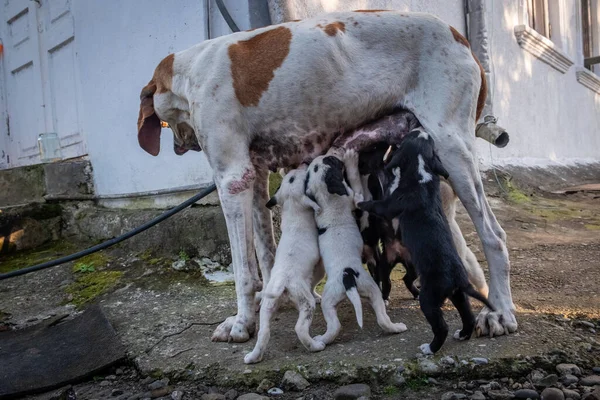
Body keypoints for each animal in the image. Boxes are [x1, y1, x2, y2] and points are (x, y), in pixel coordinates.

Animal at [245, 167, 328, 364]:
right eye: (294, 178)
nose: (300, 167)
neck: (293, 209)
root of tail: (282, 282)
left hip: (268, 307)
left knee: (263, 332)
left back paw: (253, 357)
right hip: (305, 302)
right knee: (300, 328)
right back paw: (315, 346)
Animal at [304, 155, 408, 346]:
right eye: (331, 161)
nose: (332, 155)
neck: (326, 198)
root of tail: (348, 277)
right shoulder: (354, 198)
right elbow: (355, 184)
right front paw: (351, 159)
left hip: (342, 297)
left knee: (349, 322)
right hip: (360, 290)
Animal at [358, 130, 494, 354]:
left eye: (408, 138)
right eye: (428, 141)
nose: (422, 130)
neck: (422, 172)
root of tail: (457, 279)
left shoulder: (390, 204)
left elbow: (376, 204)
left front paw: (359, 201)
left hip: (429, 298)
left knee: (441, 325)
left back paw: (430, 348)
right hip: (457, 294)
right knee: (467, 315)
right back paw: (462, 334)